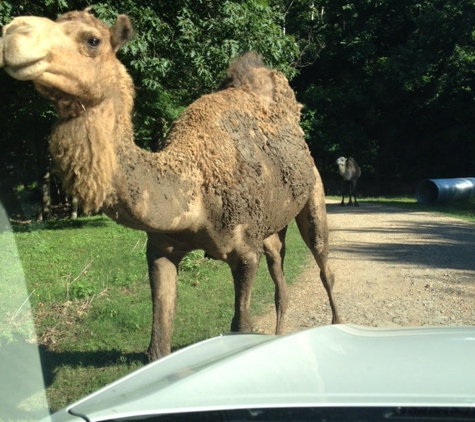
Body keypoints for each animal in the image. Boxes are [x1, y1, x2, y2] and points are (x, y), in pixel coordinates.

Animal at [0, 9, 342, 360]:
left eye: (92, 40)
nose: (14, 33)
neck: (195, 194)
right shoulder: (161, 250)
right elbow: (158, 342)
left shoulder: (246, 252)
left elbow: (241, 324)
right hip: (272, 224)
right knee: (280, 276)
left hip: (313, 193)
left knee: (323, 262)